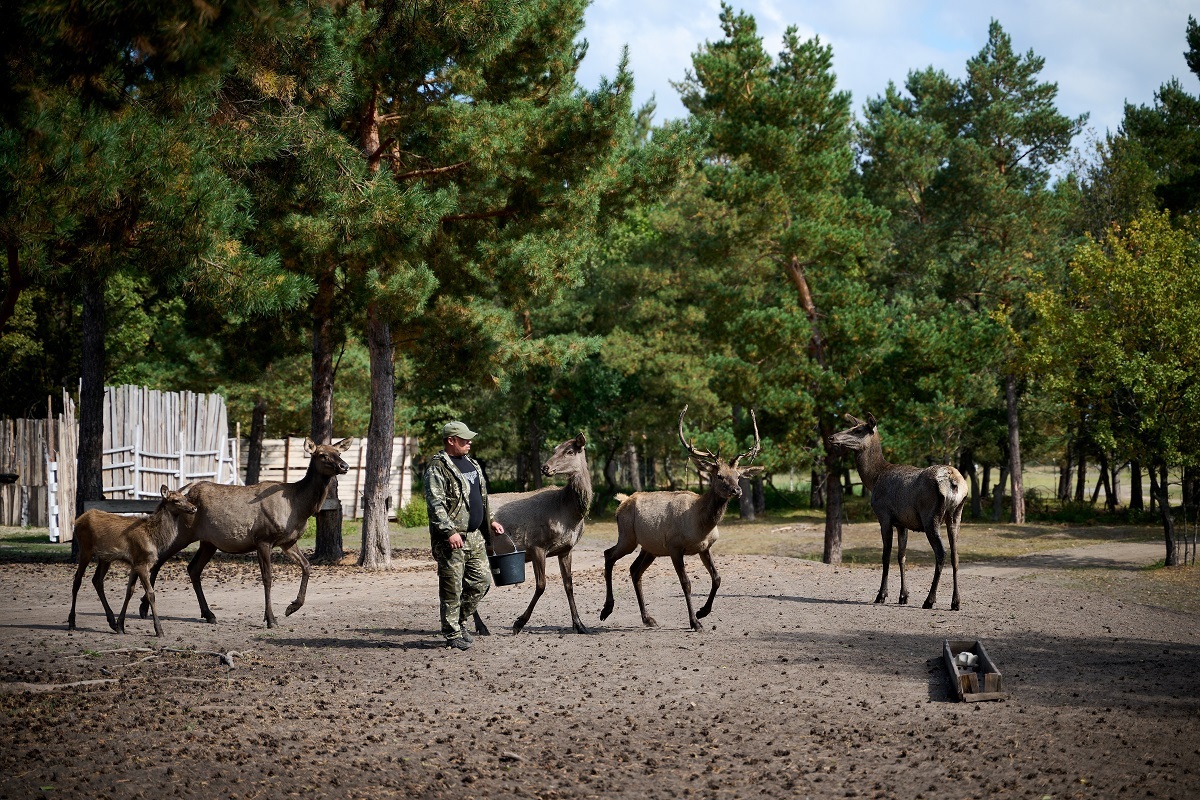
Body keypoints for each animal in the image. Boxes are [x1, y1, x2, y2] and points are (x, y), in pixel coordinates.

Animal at [68, 482, 199, 638]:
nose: (194, 508)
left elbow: (129, 591)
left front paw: (120, 625)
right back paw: (71, 622)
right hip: (85, 549)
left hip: (105, 558)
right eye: (176, 500)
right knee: (77, 580)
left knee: (97, 580)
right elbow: (150, 593)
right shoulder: (142, 563)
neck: (155, 539)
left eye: (185, 497)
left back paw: (111, 622)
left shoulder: (135, 563)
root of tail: (77, 521)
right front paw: (159, 630)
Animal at [138, 441, 350, 628]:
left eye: (338, 452)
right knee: (159, 560)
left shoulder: (288, 542)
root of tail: (183, 496)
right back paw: (143, 607)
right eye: (322, 454)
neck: (299, 507)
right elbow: (267, 578)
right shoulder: (263, 539)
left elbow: (307, 566)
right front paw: (271, 619)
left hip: (208, 542)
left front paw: (292, 608)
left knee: (193, 568)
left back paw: (208, 614)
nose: (345, 466)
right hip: (183, 533)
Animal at [472, 434, 595, 633]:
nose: (545, 467)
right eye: (555, 450)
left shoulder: (566, 549)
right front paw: (518, 622)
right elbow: (541, 585)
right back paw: (480, 626)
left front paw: (579, 625)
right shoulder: (537, 545)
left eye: (570, 451)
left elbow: (569, 585)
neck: (570, 514)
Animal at [597, 407, 763, 633]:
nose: (737, 490)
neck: (700, 524)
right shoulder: (675, 547)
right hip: (628, 537)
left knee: (634, 570)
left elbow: (717, 578)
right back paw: (606, 609)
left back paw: (647, 618)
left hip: (650, 547)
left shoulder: (705, 547)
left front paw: (703, 611)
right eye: (719, 475)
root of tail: (622, 501)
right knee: (609, 555)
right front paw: (695, 621)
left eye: (738, 476)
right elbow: (686, 583)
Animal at [830, 417, 969, 609]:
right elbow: (901, 556)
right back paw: (955, 602)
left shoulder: (884, 516)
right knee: (956, 555)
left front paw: (881, 595)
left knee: (941, 553)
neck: (873, 478)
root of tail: (954, 482)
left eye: (858, 430)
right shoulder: (903, 523)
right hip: (956, 514)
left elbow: (886, 556)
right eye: (852, 426)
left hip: (930, 516)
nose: (832, 437)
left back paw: (929, 600)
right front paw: (903, 596)